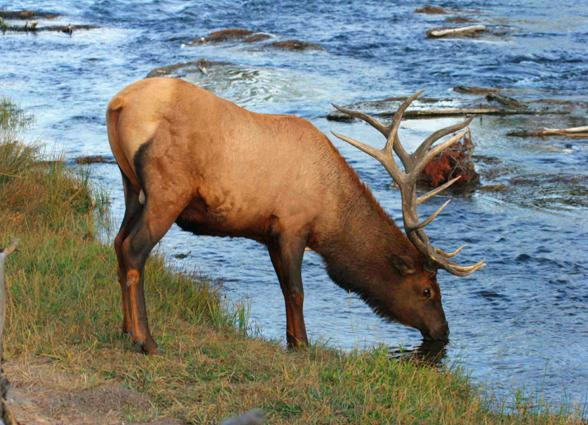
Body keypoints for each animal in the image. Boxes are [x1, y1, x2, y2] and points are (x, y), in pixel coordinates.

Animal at [105, 78, 482, 352]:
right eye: (427, 291)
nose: (443, 331)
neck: (331, 211)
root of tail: (117, 105)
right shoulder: (293, 225)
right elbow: (297, 290)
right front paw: (303, 343)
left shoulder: (268, 233)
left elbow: (285, 289)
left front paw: (291, 338)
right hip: (167, 191)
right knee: (135, 250)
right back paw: (146, 340)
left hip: (130, 186)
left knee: (118, 243)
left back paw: (125, 329)